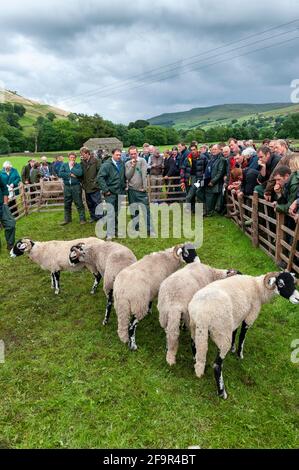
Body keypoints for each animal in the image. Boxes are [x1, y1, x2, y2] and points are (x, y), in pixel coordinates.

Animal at [190, 270, 299, 398]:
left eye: (293, 282)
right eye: (281, 284)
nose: (297, 299)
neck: (258, 288)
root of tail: (202, 315)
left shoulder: (237, 316)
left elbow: (235, 332)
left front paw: (233, 349)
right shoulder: (250, 316)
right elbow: (242, 336)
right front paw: (239, 354)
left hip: (195, 328)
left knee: (194, 345)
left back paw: (195, 360)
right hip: (222, 333)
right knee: (217, 365)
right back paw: (222, 392)